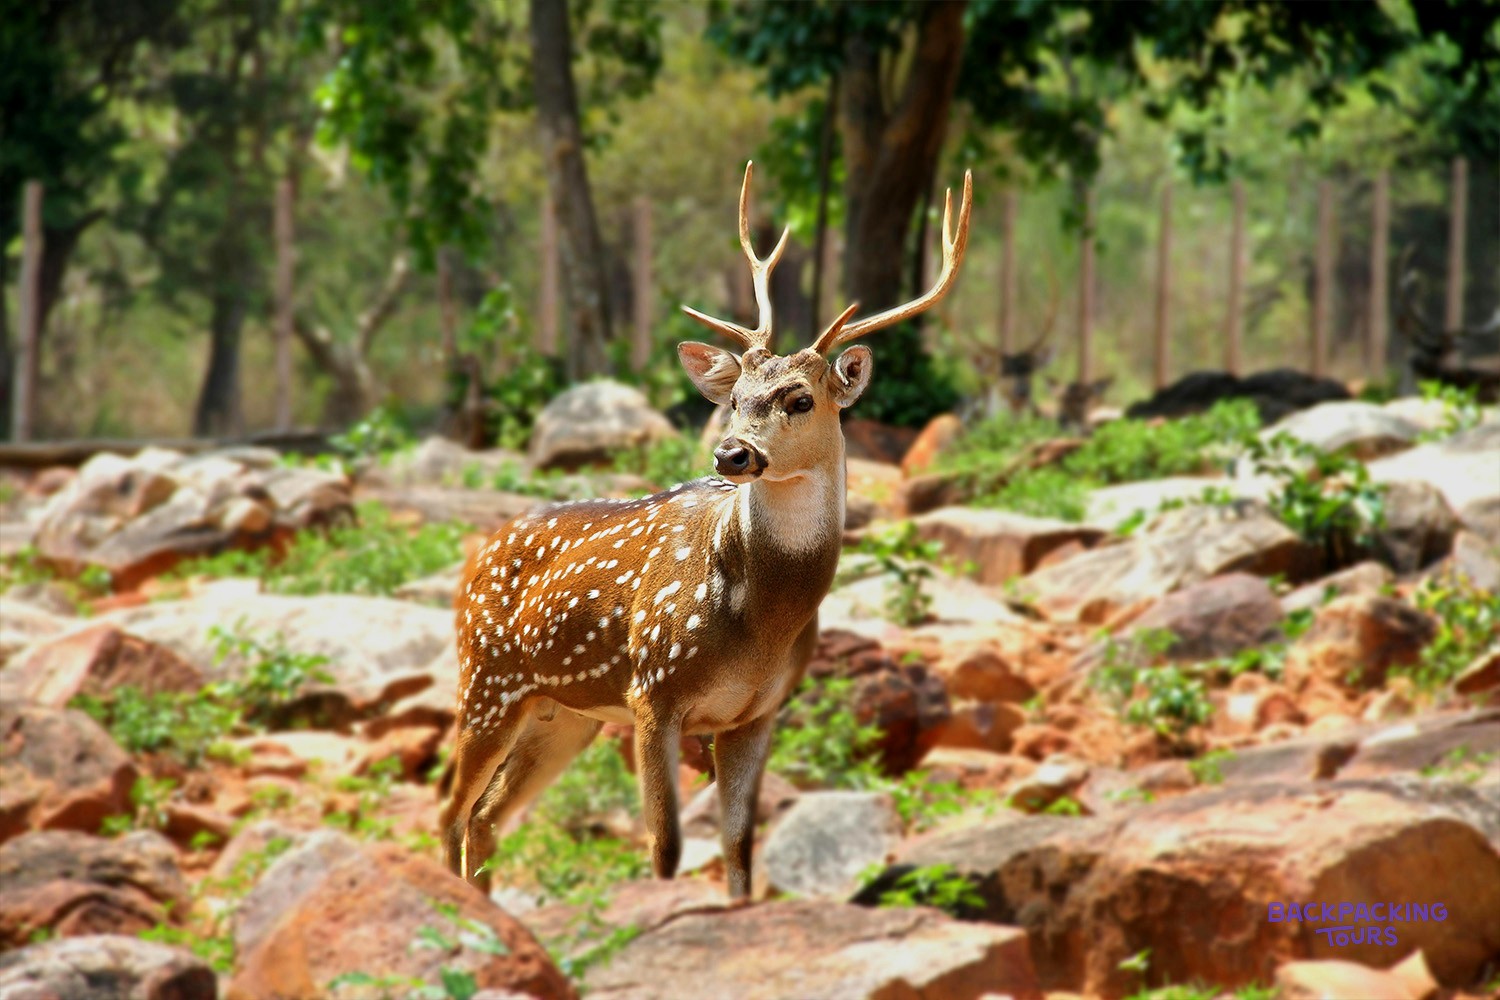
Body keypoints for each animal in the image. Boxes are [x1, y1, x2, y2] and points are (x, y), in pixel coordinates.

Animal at [440, 161, 972, 899]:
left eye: (800, 398)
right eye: (735, 397)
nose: (731, 454)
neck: (758, 622)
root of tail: (476, 555)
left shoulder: (758, 710)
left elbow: (738, 849)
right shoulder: (652, 691)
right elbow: (664, 848)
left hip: (564, 711)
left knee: (487, 818)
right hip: (488, 680)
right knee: (451, 813)